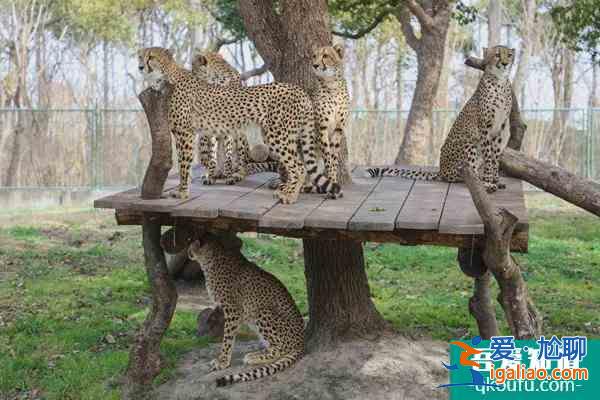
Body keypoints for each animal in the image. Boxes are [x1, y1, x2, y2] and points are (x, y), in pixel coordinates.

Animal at [138, 47, 340, 203]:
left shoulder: (185, 133)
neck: (165, 77)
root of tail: (299, 90)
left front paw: (182, 192)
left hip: (277, 137)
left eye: (151, 57)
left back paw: (289, 196)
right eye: (140, 56)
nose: (140, 66)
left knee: (298, 166)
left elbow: (184, 165)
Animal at [366, 45, 516, 192]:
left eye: (509, 55)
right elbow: (489, 158)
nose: (505, 63)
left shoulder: (500, 128)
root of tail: (441, 170)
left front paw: (496, 180)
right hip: (469, 144)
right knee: (462, 175)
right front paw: (489, 181)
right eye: (497, 54)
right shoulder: (485, 128)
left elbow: (495, 156)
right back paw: (481, 183)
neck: (500, 81)